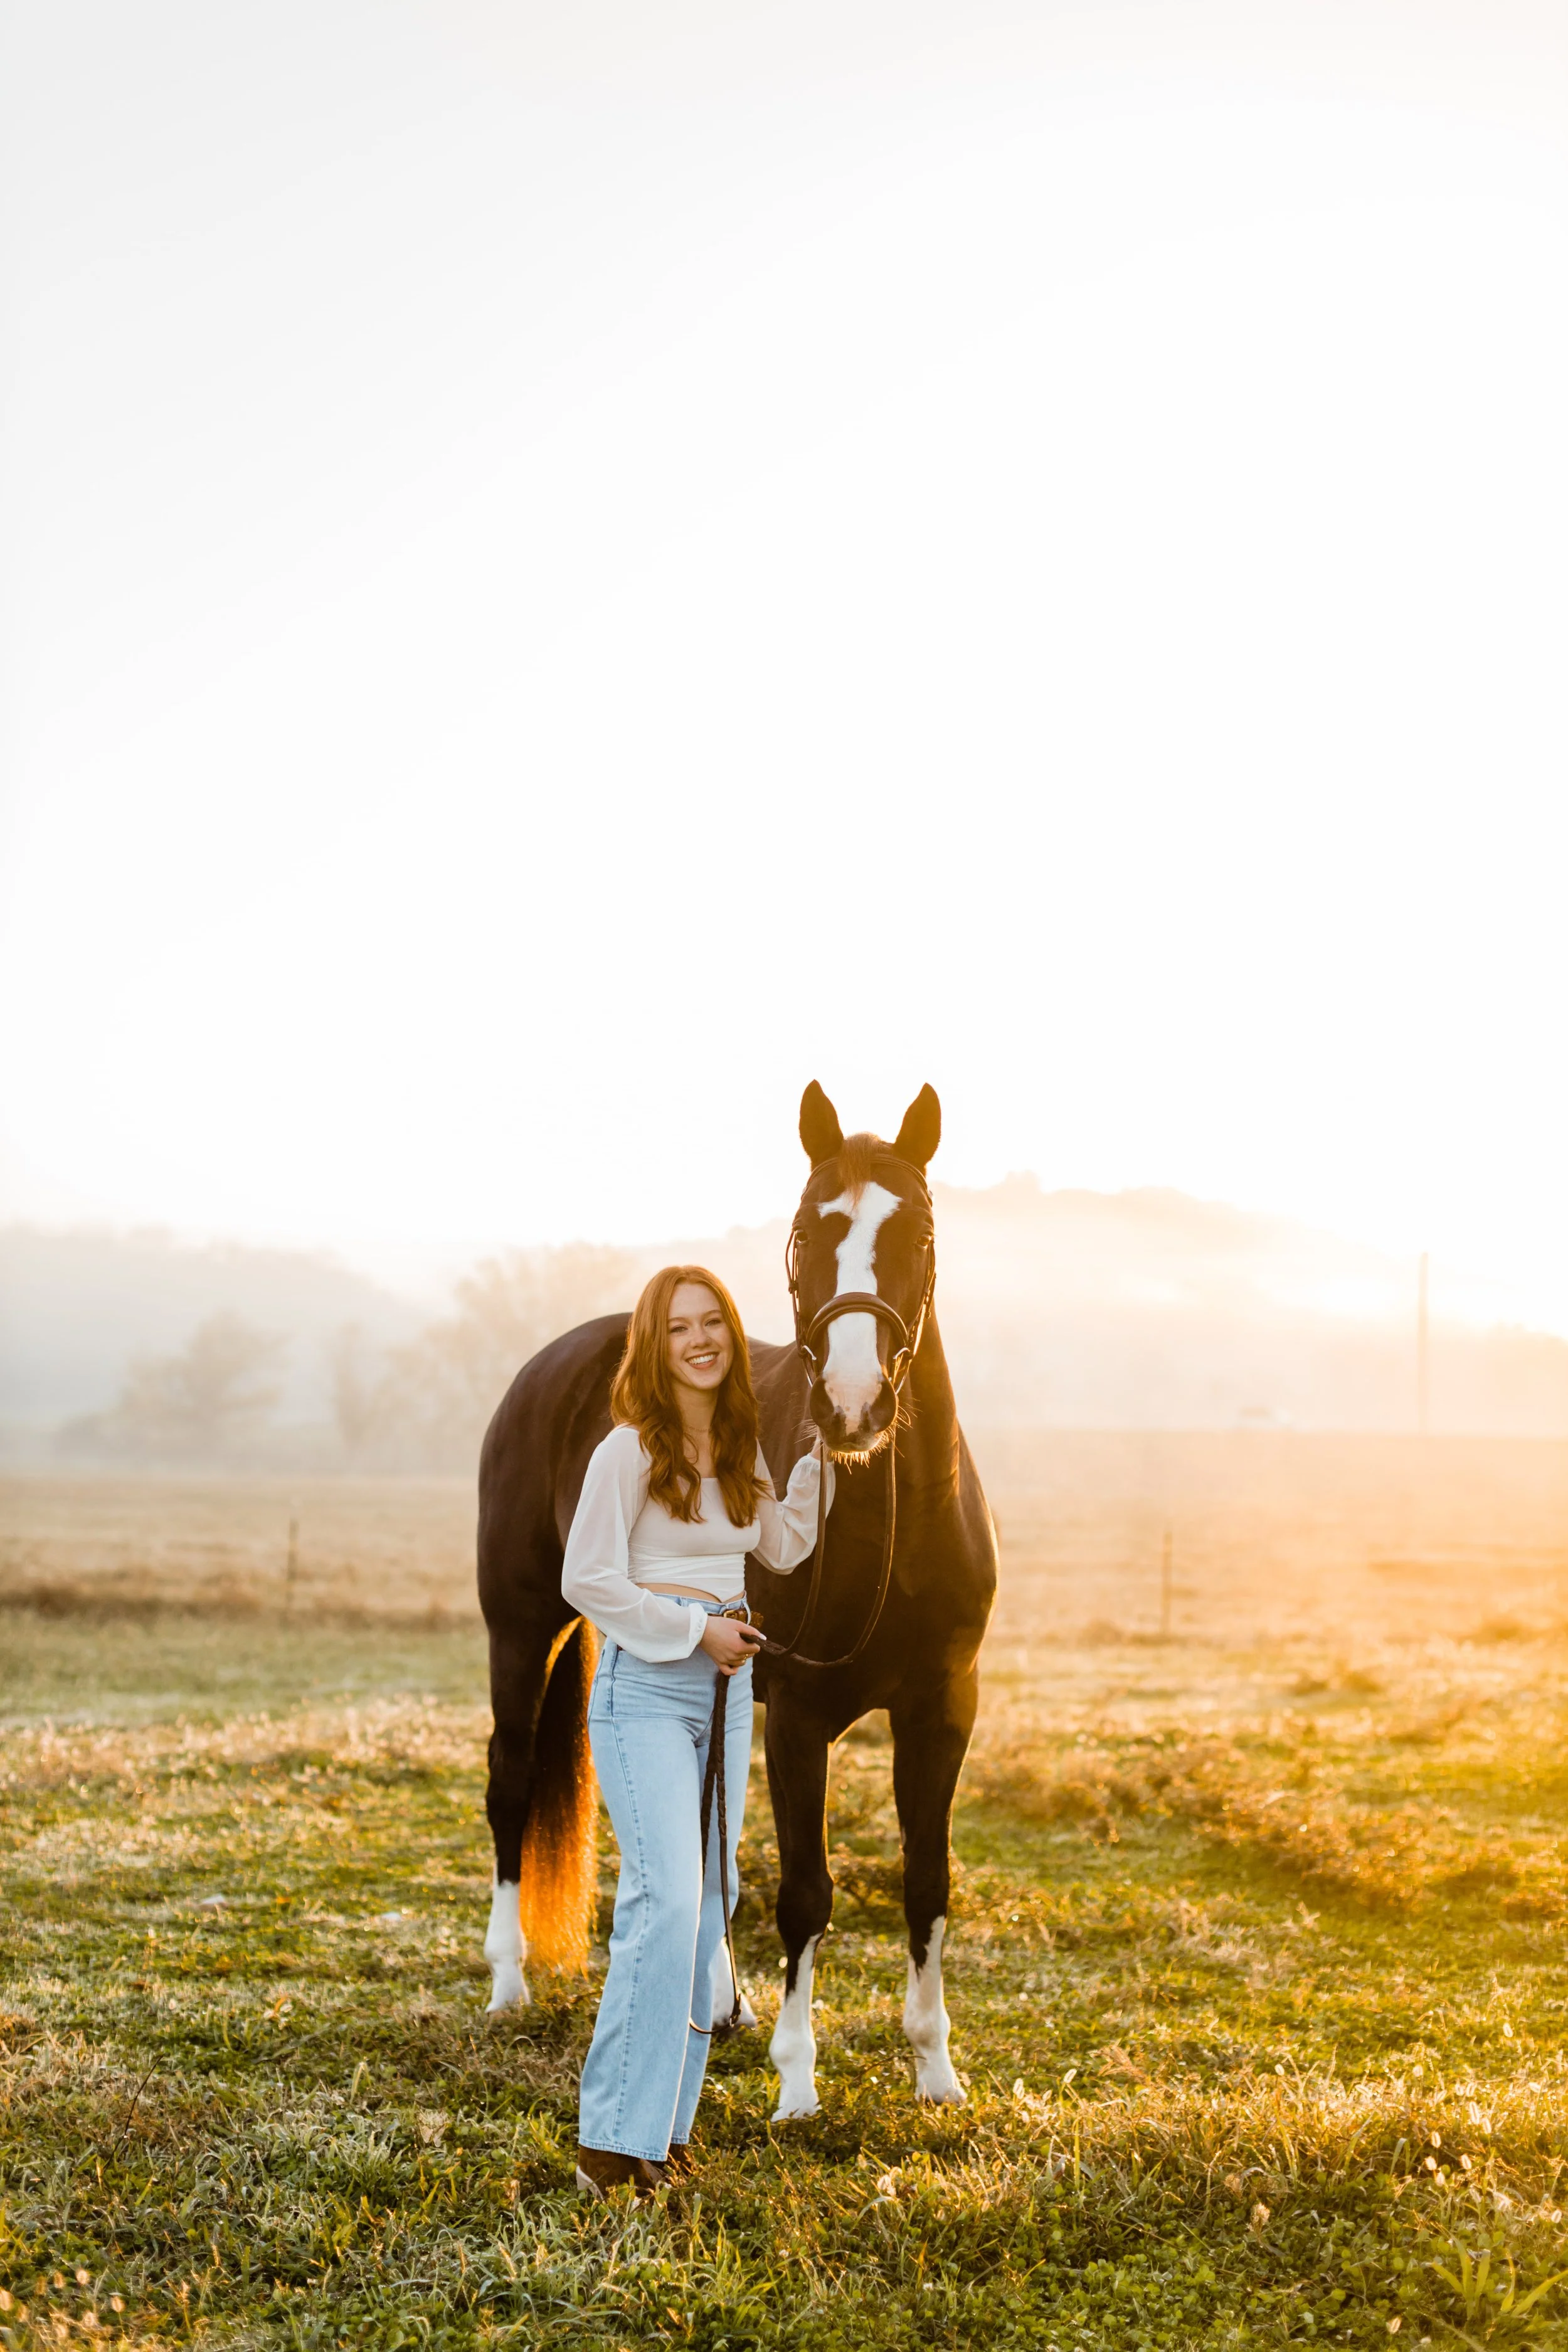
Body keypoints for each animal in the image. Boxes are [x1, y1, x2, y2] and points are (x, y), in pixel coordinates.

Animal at [475, 1082, 998, 2119]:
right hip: (521, 1631)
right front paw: (797, 2084)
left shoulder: (942, 1706)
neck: (893, 1532)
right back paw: (509, 1981)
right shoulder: (799, 1712)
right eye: (803, 1230)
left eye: (917, 1231)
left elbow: (927, 1881)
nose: (852, 1407)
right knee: (510, 1781)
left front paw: (936, 2070)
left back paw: (718, 2005)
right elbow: (805, 1890)